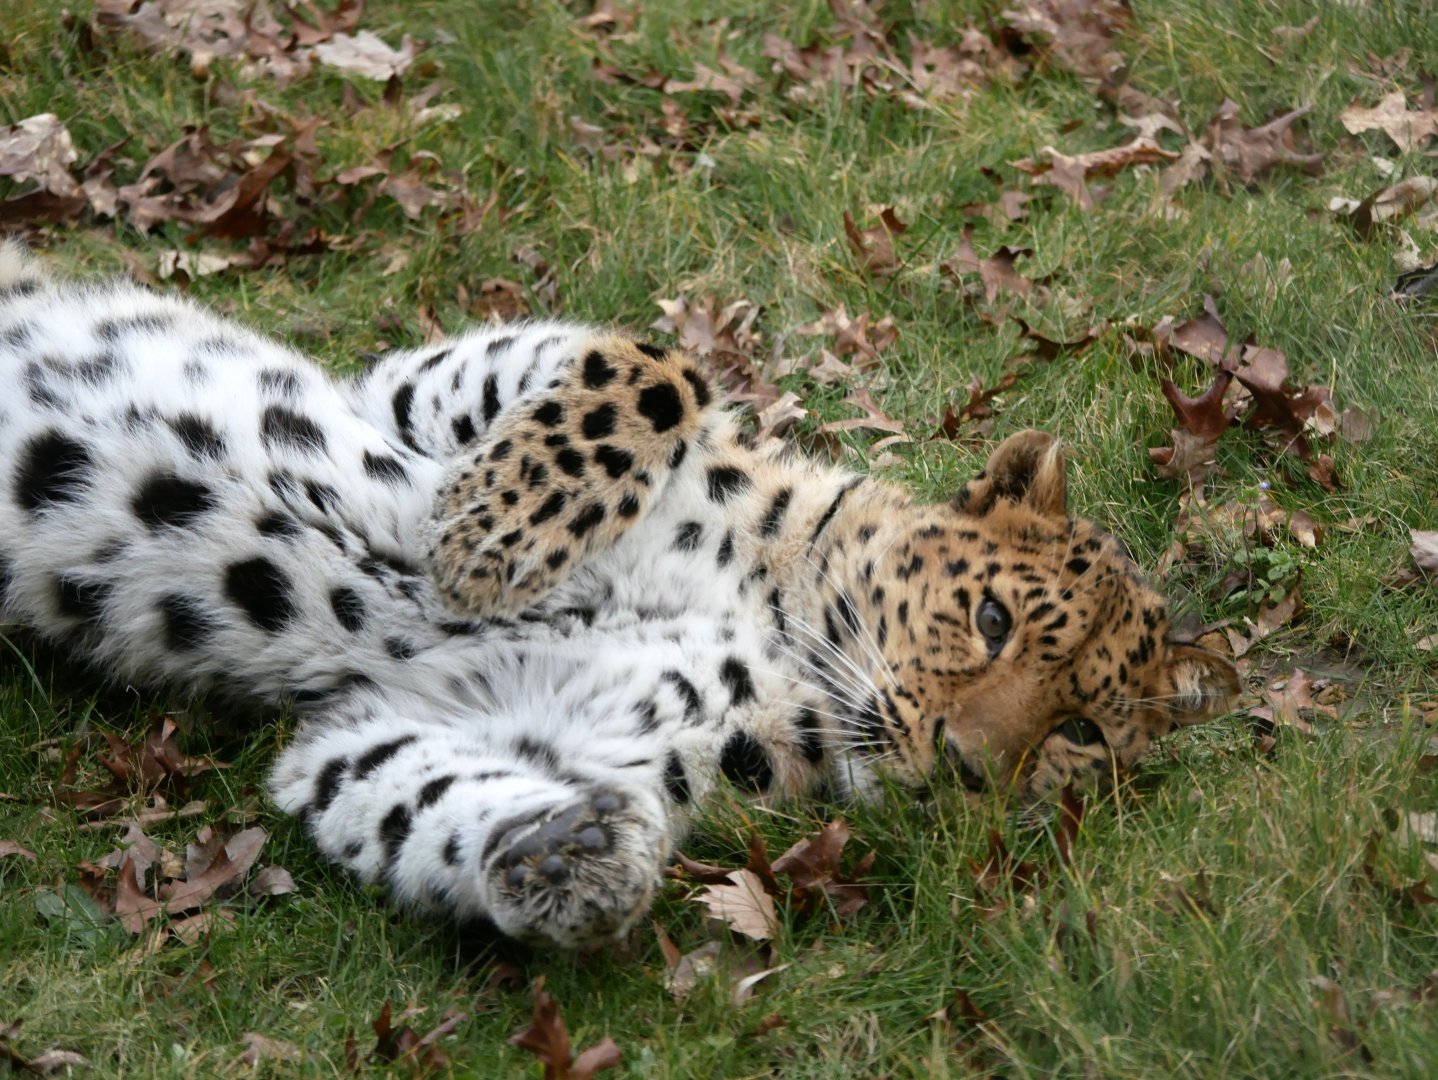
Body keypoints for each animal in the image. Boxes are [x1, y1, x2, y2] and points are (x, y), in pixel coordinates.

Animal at [0, 242, 1239, 949]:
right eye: (990, 621)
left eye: (1077, 735)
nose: (971, 767)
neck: (778, 616)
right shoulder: (407, 386)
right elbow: (651, 367)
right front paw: (488, 535)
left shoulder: (424, 725)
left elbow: (407, 799)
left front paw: (566, 863)